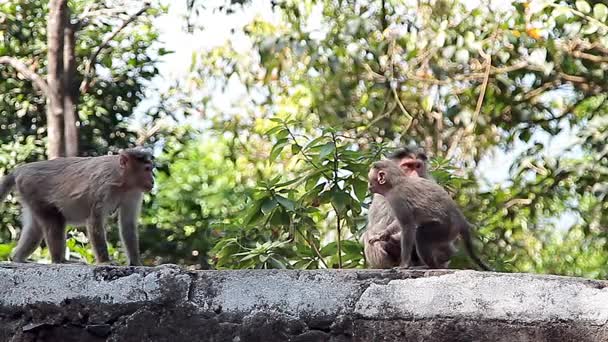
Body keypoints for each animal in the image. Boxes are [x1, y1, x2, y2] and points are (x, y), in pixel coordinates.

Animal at [0, 148, 154, 266]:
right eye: (146, 169)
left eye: (150, 169)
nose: (152, 180)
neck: (122, 180)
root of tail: (21, 169)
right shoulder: (103, 186)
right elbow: (95, 221)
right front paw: (105, 261)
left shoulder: (134, 193)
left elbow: (128, 224)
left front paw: (136, 263)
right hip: (32, 189)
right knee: (54, 220)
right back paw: (60, 260)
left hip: (28, 194)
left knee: (35, 228)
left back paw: (18, 258)